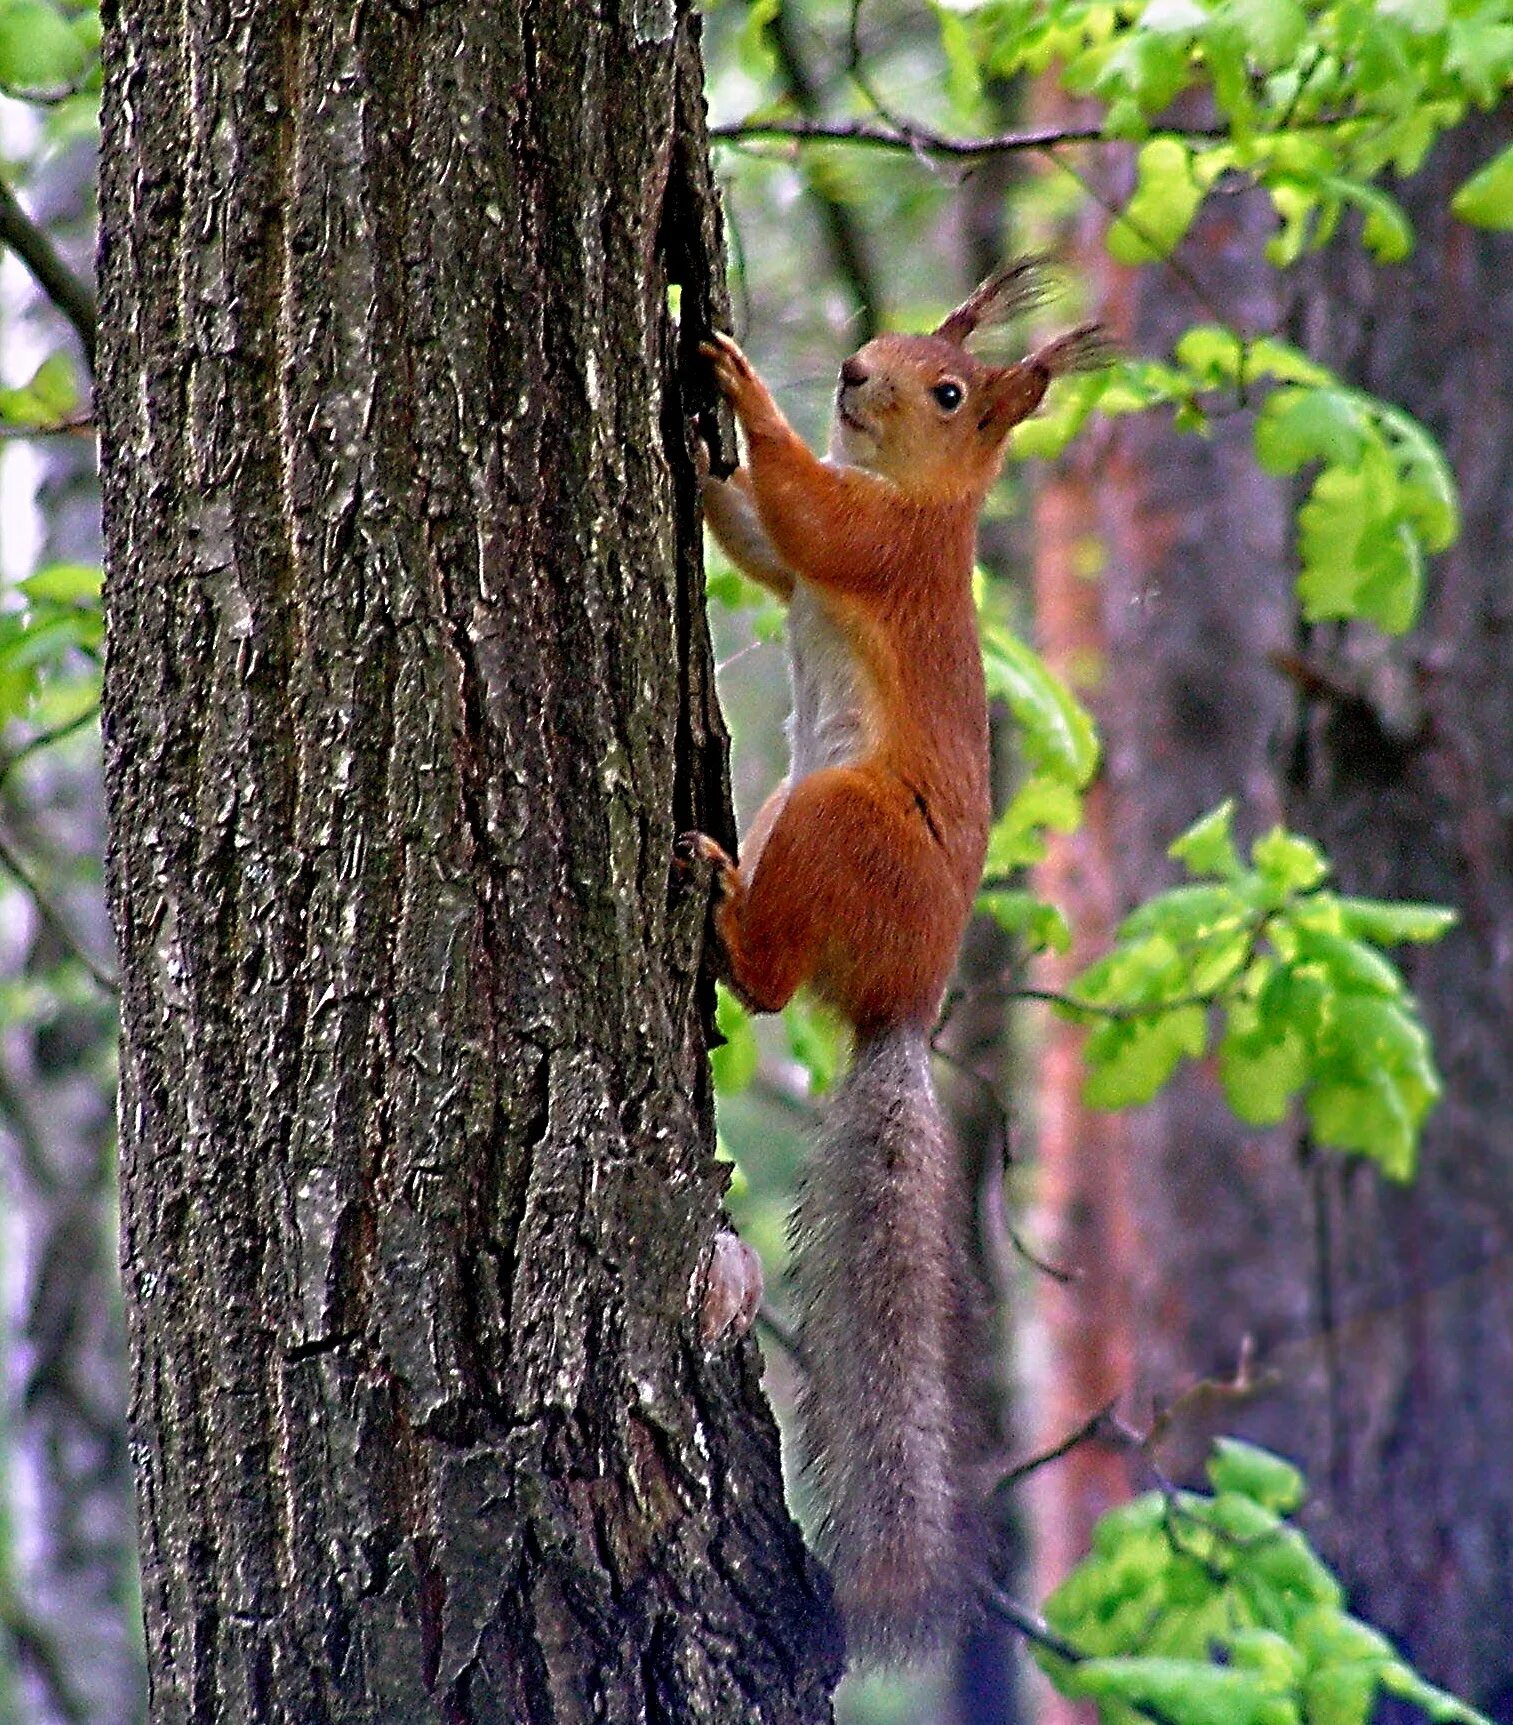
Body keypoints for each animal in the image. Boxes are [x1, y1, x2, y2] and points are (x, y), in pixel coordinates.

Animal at [683, 265, 1097, 1656]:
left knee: (767, 983)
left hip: (834, 823)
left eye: (951, 389)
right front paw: (701, 457)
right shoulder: (814, 555)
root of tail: (906, 1007)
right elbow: (761, 546)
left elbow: (811, 522)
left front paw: (737, 386)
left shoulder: (881, 545)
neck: (928, 498)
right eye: (894, 338)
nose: (856, 371)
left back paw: (719, 907)